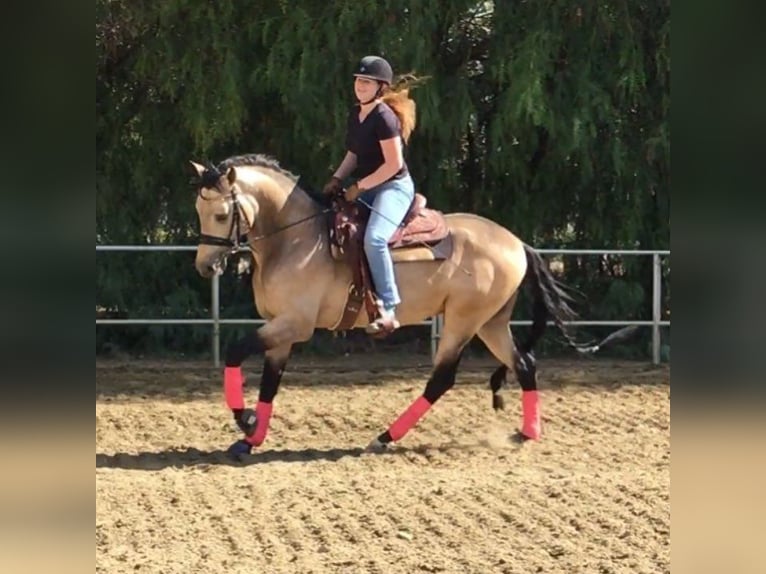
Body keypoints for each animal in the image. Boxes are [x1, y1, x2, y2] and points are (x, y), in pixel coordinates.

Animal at [192, 154, 632, 460]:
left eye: (221, 213)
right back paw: (526, 433)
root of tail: (516, 242)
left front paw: (245, 419)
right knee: (524, 363)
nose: (205, 266)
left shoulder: (294, 325)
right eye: (199, 211)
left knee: (442, 379)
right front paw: (251, 438)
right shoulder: (279, 328)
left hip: (463, 320)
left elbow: (234, 352)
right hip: (491, 322)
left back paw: (384, 437)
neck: (297, 239)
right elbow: (270, 382)